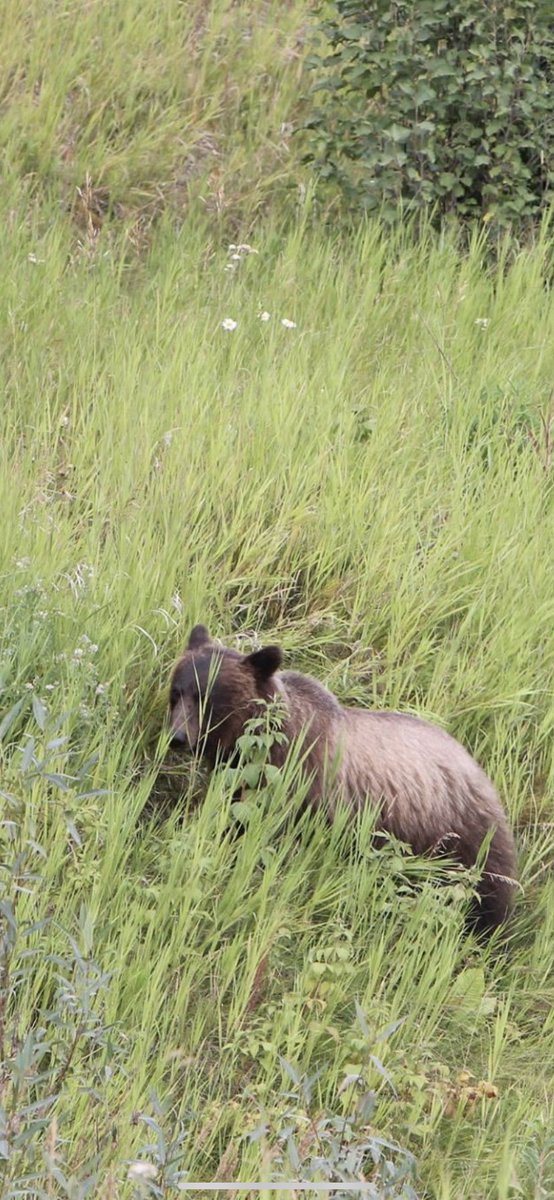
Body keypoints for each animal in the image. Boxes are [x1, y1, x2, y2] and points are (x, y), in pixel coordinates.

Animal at [168, 624, 517, 934]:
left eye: (206, 698)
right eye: (177, 692)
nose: (177, 737)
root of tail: (479, 770)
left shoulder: (303, 785)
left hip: (461, 833)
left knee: (487, 891)